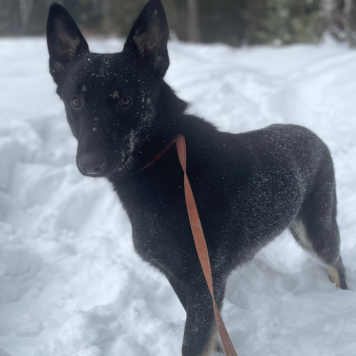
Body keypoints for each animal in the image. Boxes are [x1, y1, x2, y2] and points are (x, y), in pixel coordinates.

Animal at [46, 1, 346, 354]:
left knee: (337, 263)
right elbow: (212, 336)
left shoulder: (204, 283)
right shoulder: (183, 281)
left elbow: (194, 341)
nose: (89, 163)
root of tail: (312, 135)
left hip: (316, 230)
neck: (163, 163)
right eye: (75, 102)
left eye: (125, 100)